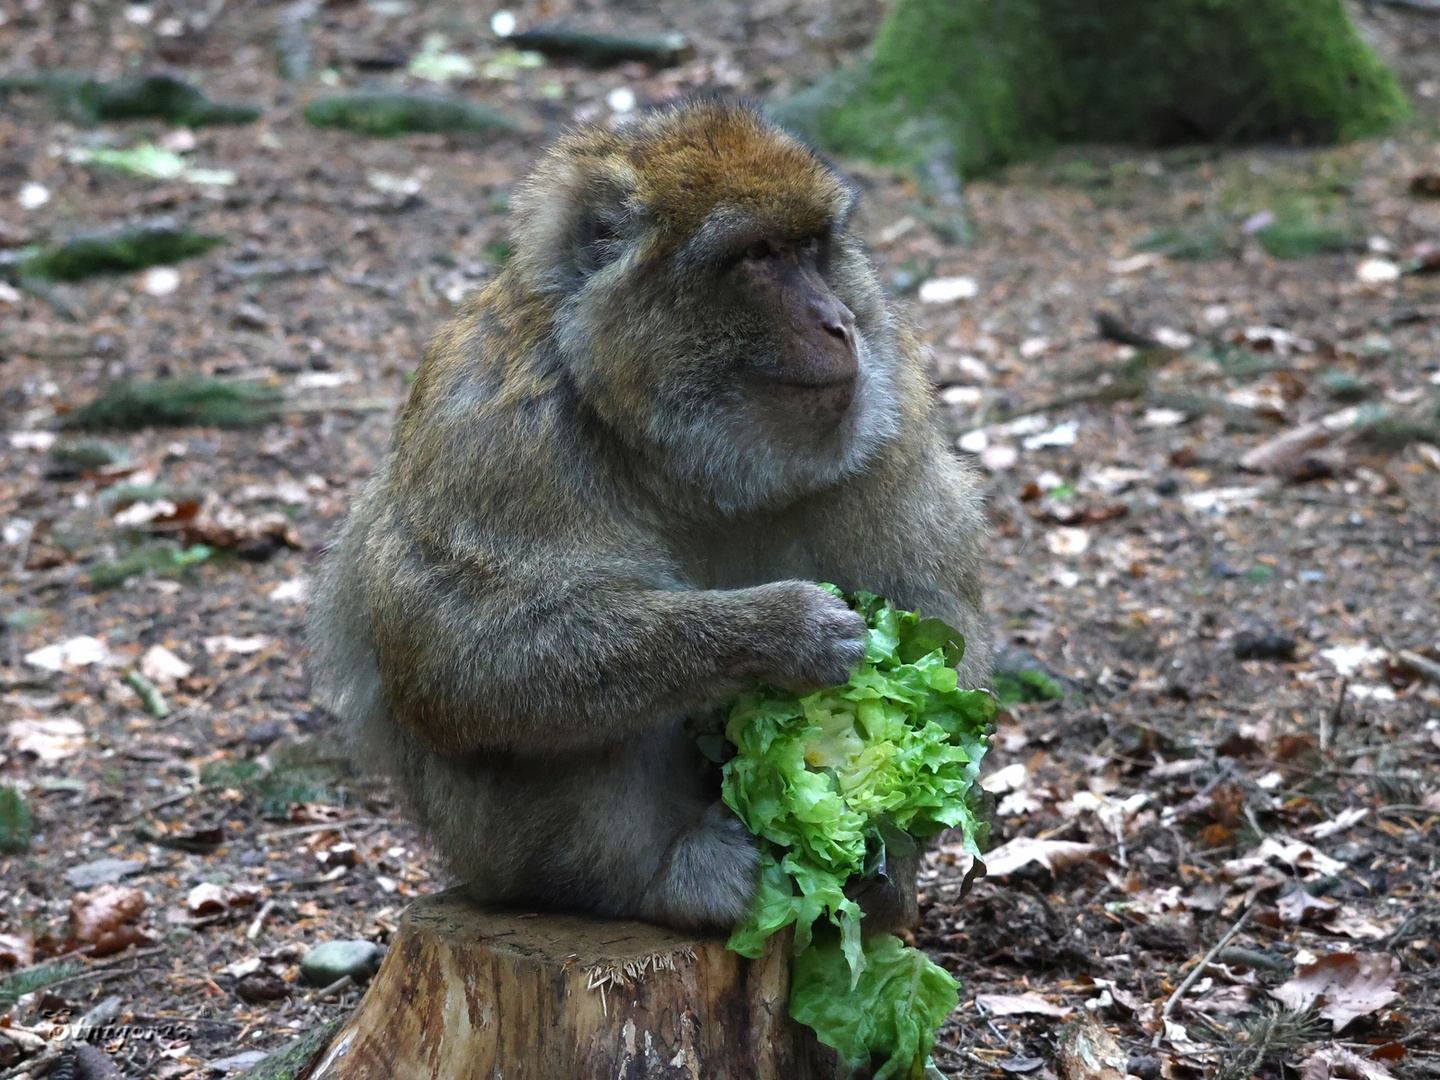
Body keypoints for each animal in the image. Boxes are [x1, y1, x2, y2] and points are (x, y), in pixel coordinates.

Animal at [306, 101, 990, 933]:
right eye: (758, 255)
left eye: (809, 248)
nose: (838, 322)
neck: (689, 461)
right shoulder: (495, 427)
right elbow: (456, 655)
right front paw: (780, 629)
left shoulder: (889, 407)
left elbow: (941, 625)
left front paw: (891, 835)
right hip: (489, 847)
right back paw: (657, 882)